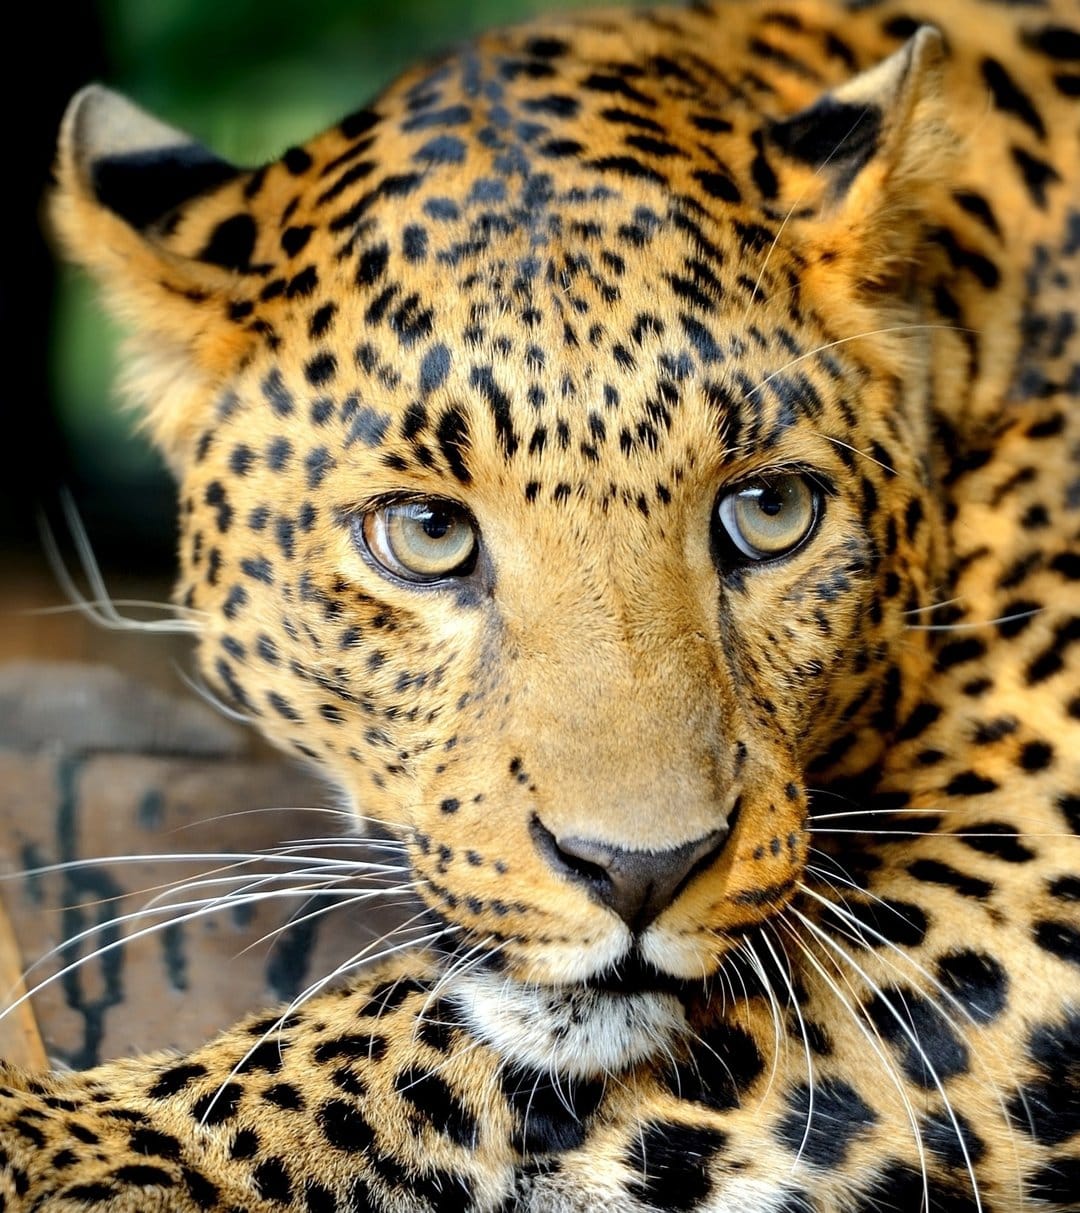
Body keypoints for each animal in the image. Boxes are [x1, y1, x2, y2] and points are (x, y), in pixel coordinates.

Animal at [2, 0, 1079, 1208]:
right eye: (427, 534)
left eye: (770, 510)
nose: (640, 872)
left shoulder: (1028, 854)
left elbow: (394, 1038)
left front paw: (81, 1138)